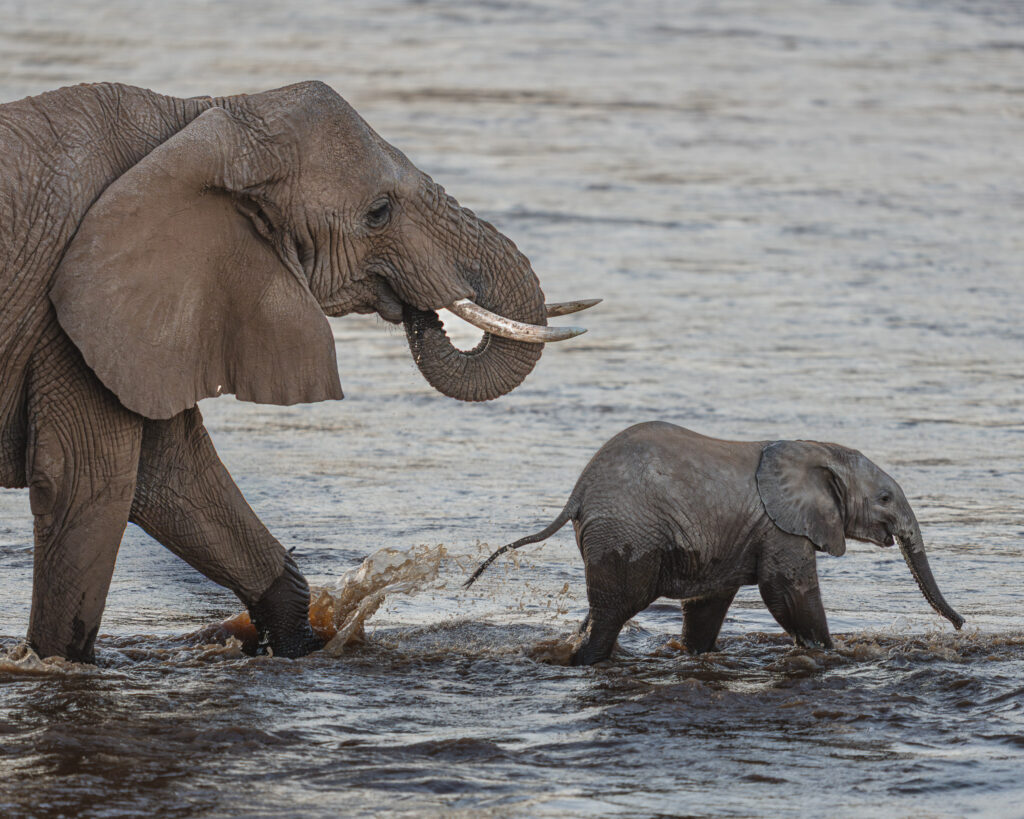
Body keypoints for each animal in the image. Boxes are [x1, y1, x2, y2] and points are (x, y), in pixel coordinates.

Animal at [0, 80, 594, 662]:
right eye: (379, 212)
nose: (420, 310)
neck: (200, 116)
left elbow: (171, 480)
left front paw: (298, 647)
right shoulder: (71, 317)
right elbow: (89, 482)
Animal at [466, 422, 964, 665]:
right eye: (884, 498)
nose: (960, 625)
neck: (817, 449)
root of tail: (578, 492)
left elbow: (709, 602)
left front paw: (695, 655)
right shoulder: (780, 527)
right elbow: (786, 591)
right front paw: (833, 655)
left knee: (602, 610)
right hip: (627, 532)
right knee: (614, 611)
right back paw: (586, 660)